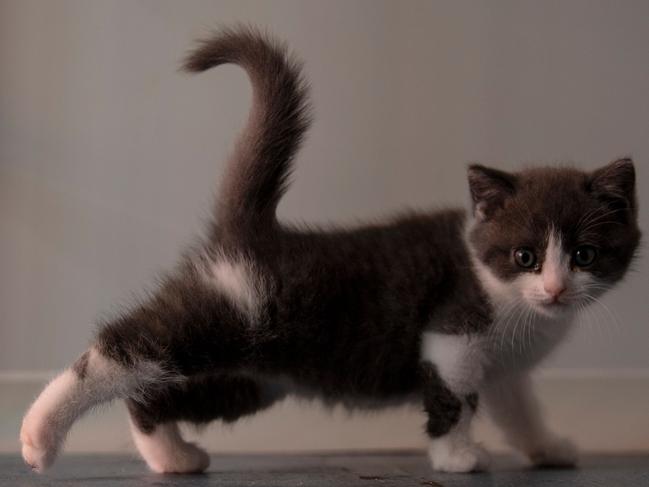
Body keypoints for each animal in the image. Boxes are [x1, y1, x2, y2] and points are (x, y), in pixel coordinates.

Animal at [19, 27, 636, 476]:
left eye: (584, 255)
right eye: (525, 257)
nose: (555, 288)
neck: (511, 303)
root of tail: (251, 230)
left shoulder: (505, 366)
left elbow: (519, 408)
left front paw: (547, 448)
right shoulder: (454, 334)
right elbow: (454, 400)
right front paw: (458, 457)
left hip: (253, 377)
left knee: (154, 397)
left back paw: (171, 456)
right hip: (227, 312)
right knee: (120, 348)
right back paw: (38, 433)